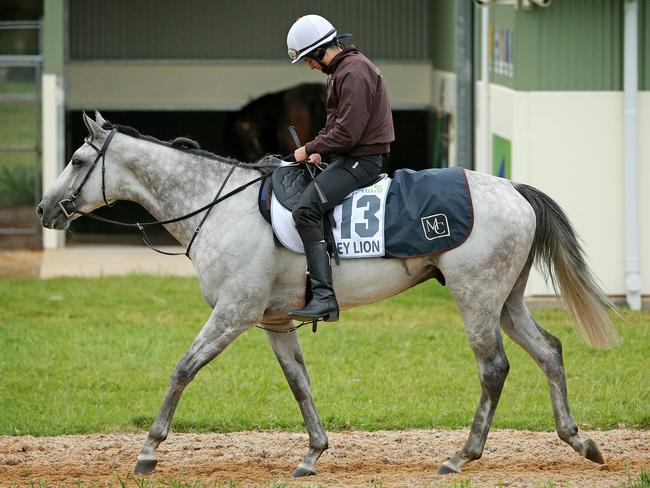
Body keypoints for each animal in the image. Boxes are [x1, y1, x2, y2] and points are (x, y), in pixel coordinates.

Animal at [36, 110, 616, 476]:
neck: (218, 206)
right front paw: (313, 453)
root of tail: (513, 188)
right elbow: (300, 384)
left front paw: (149, 450)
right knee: (549, 351)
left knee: (494, 368)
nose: (44, 210)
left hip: (477, 298)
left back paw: (461, 456)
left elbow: (182, 369)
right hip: (506, 301)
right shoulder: (271, 322)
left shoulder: (233, 313)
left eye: (78, 161)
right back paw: (579, 440)